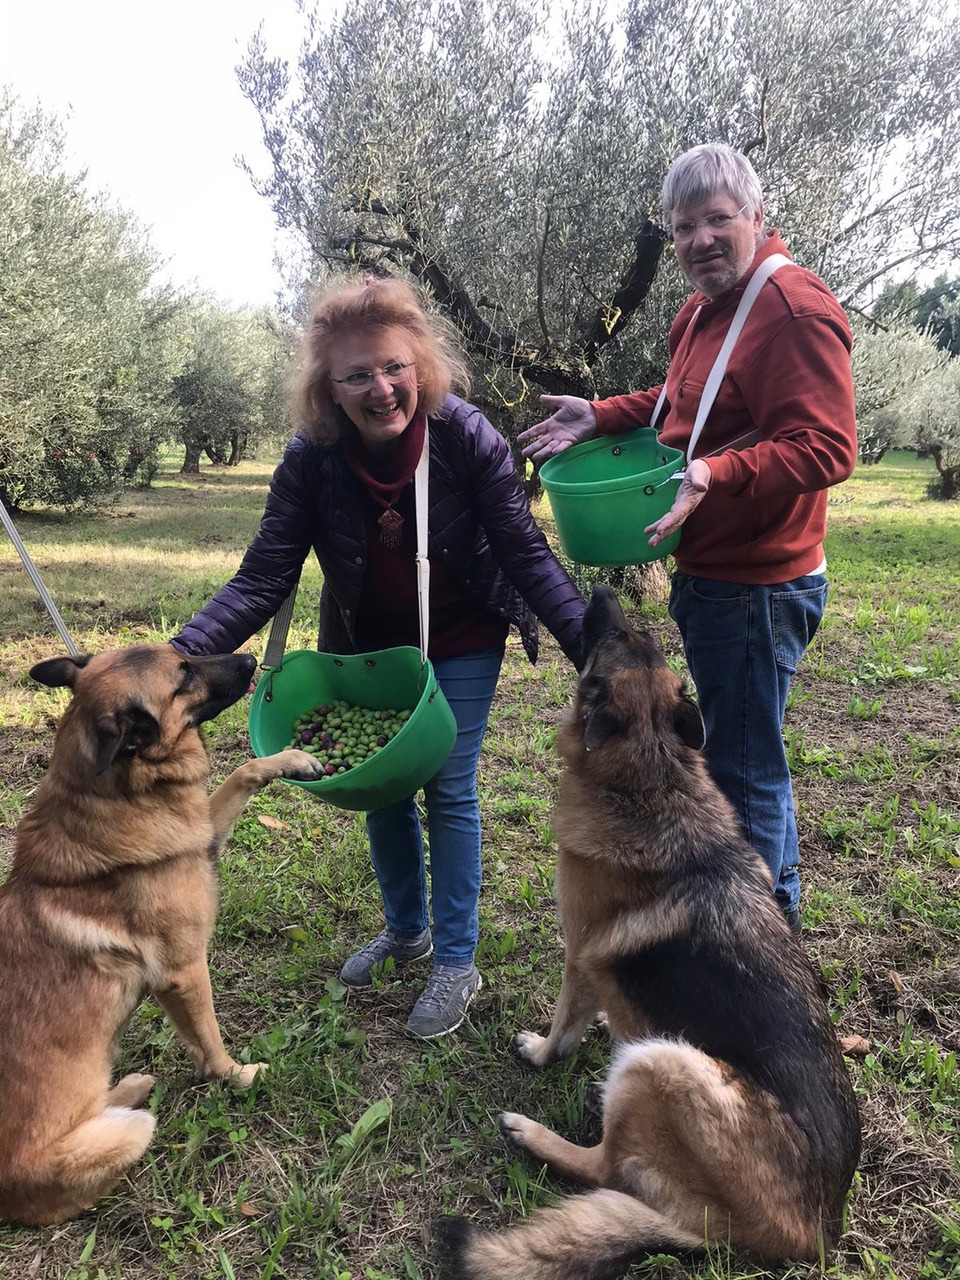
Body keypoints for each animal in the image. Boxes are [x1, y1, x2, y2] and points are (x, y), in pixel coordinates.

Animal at [0, 645, 323, 1223]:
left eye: (183, 649)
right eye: (183, 676)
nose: (251, 660)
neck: (116, 788)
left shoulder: (201, 837)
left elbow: (241, 771)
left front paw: (289, 760)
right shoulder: (183, 971)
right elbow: (211, 1043)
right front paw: (240, 1076)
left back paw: (130, 1082)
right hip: (124, 1136)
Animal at [440, 586, 860, 1280]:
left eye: (608, 645)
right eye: (642, 640)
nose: (602, 591)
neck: (653, 772)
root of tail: (808, 1237)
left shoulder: (580, 956)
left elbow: (564, 1023)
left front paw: (543, 1052)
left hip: (661, 1064)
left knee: (605, 1169)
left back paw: (532, 1132)